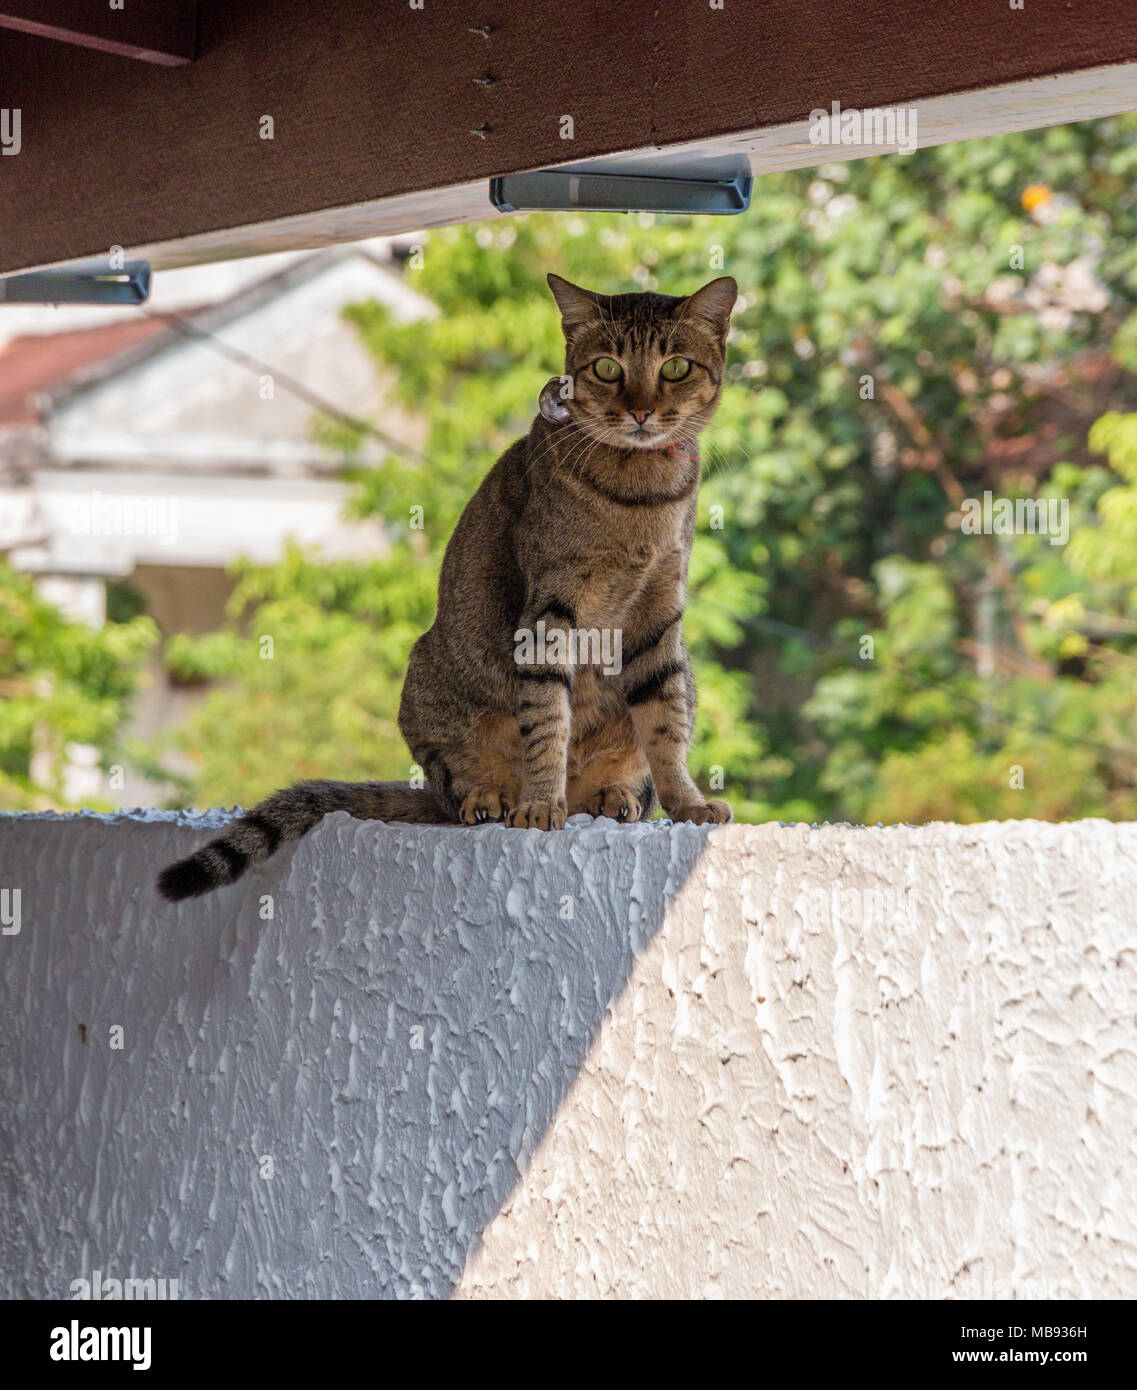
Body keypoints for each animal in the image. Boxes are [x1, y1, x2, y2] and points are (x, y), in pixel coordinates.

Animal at [154, 271, 733, 900]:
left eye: (675, 367)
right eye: (607, 368)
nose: (642, 411)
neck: (641, 493)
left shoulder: (660, 612)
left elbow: (664, 724)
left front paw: (688, 803)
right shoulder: (549, 609)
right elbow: (547, 719)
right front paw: (540, 803)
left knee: (629, 766)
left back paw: (614, 794)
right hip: (430, 688)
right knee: (458, 787)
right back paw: (494, 797)